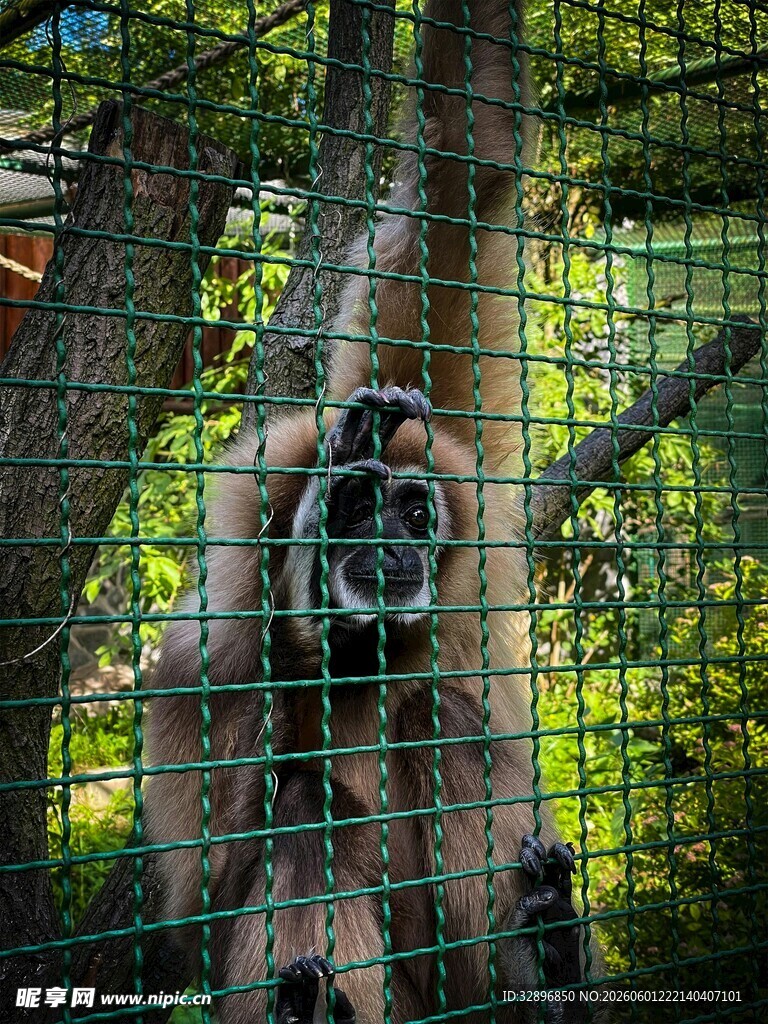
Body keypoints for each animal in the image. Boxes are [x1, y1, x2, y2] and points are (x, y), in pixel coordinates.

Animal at [143, 2, 605, 1022]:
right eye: (356, 505)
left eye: (412, 509)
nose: (390, 549)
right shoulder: (204, 648)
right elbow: (203, 888)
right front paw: (303, 570)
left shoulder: (446, 450)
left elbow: (467, 162)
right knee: (305, 813)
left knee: (446, 720)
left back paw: (547, 966)